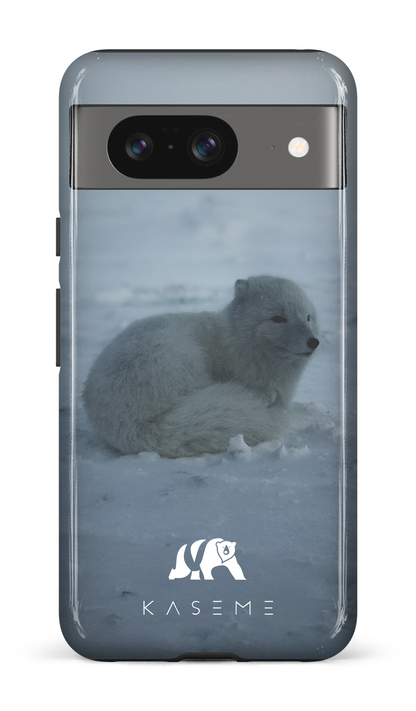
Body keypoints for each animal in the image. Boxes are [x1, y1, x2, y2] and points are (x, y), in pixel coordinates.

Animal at [83, 276, 319, 458]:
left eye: (307, 317)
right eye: (277, 318)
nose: (314, 342)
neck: (235, 342)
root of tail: (130, 426)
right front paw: (266, 395)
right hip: (178, 357)